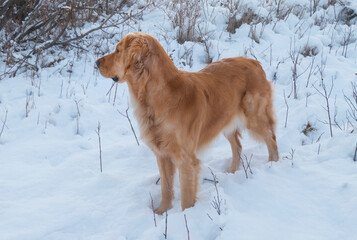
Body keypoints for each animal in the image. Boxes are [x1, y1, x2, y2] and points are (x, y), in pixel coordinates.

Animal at [95, 31, 278, 214]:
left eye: (118, 50)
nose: (96, 62)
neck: (158, 96)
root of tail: (254, 62)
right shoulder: (162, 155)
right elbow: (166, 188)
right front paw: (161, 212)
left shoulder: (185, 159)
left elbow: (186, 196)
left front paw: (186, 216)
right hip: (224, 120)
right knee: (238, 146)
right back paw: (231, 172)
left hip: (254, 117)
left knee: (271, 138)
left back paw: (273, 164)